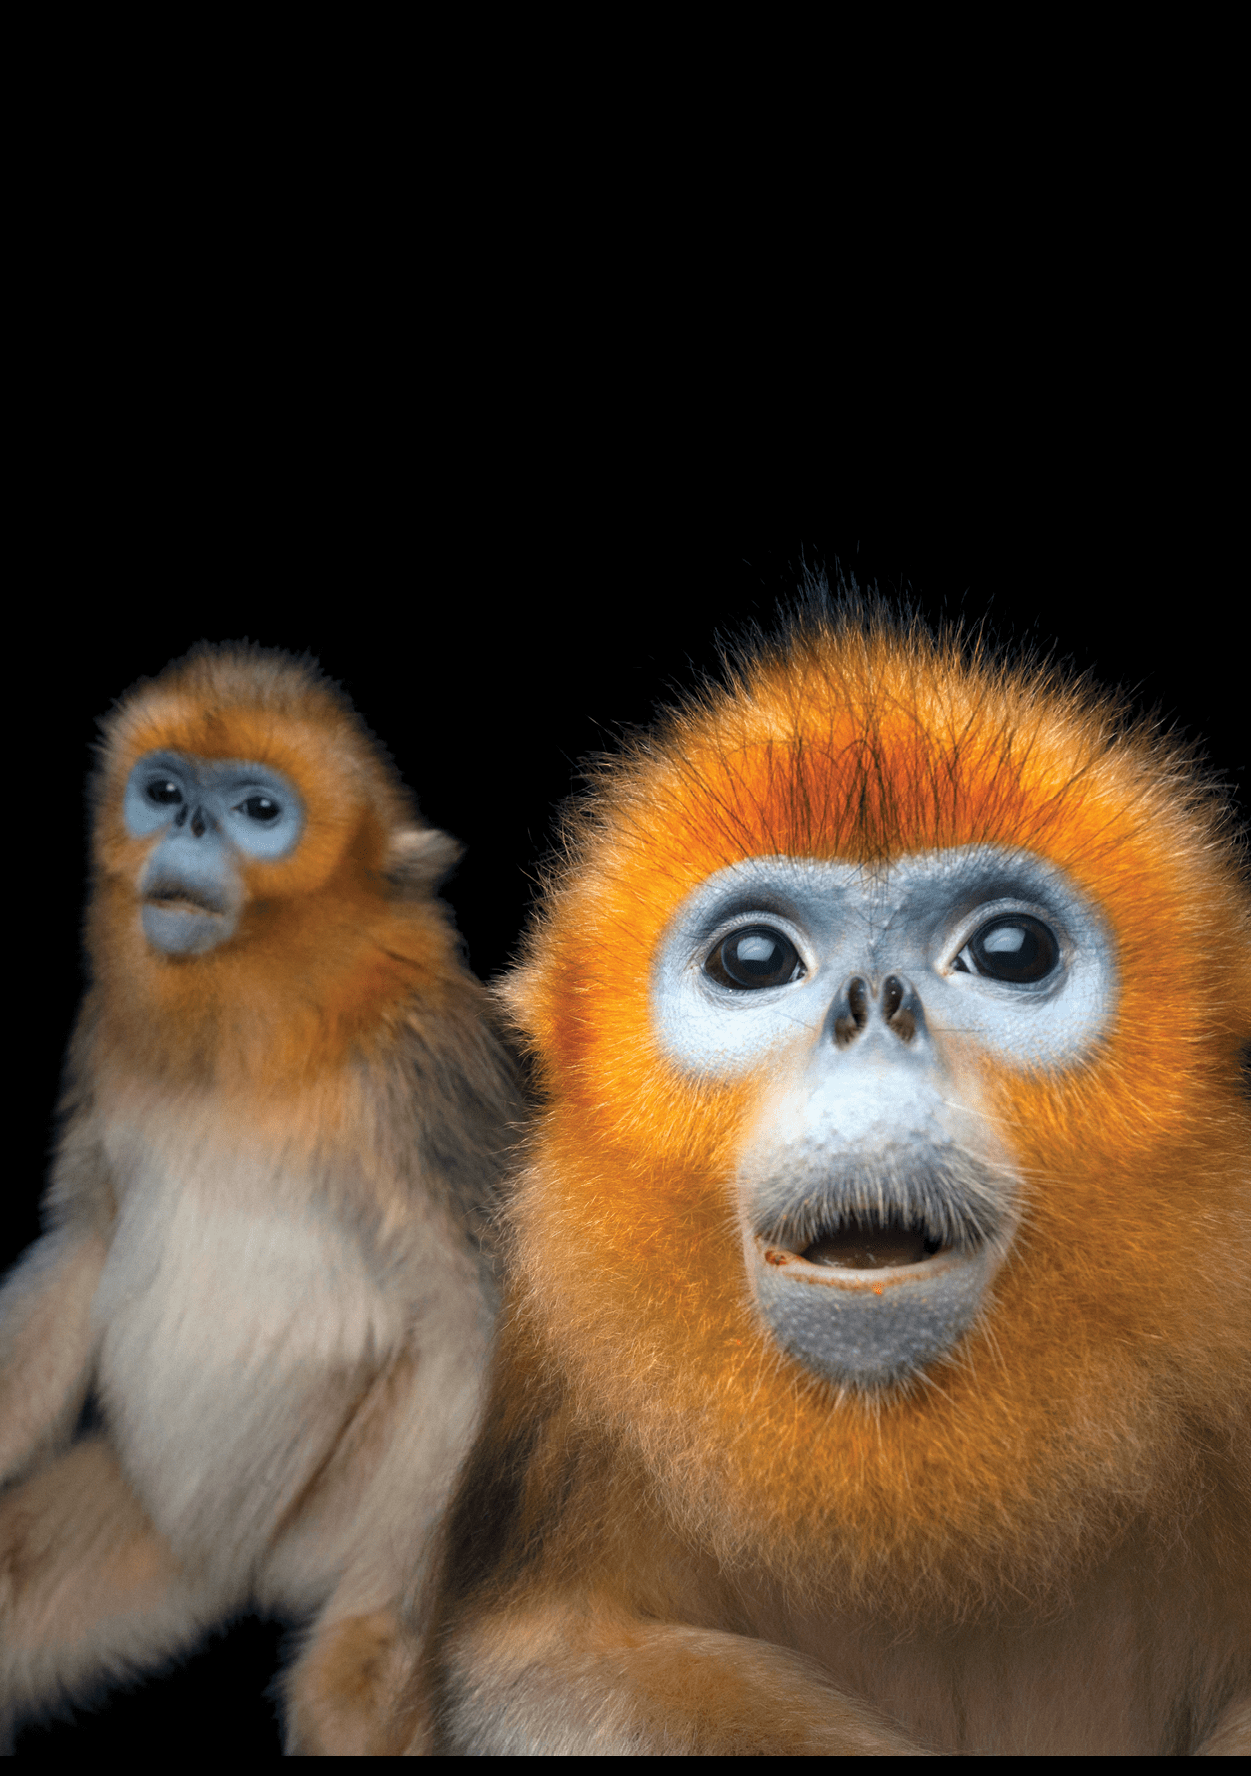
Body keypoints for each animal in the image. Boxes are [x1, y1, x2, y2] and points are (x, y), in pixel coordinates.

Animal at [0, 643, 523, 1754]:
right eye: (163, 792)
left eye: (255, 810)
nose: (191, 827)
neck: (255, 1036)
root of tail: (244, 1568)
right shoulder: (101, 1033)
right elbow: (84, 1241)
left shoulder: (420, 1068)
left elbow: (485, 1327)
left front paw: (371, 1658)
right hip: (161, 1526)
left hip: (357, 1515)